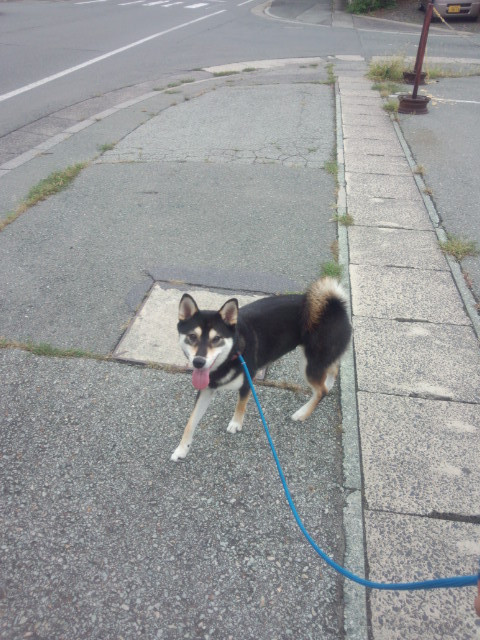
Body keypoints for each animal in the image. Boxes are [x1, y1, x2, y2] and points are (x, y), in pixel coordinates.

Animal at [171, 278, 351, 461]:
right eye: (192, 336)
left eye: (217, 339)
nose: (199, 362)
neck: (233, 353)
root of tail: (335, 306)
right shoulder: (206, 388)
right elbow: (191, 421)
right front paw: (181, 449)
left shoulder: (247, 381)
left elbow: (240, 405)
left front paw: (236, 424)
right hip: (319, 360)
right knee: (333, 369)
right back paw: (328, 384)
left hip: (309, 364)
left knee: (321, 391)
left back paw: (303, 413)